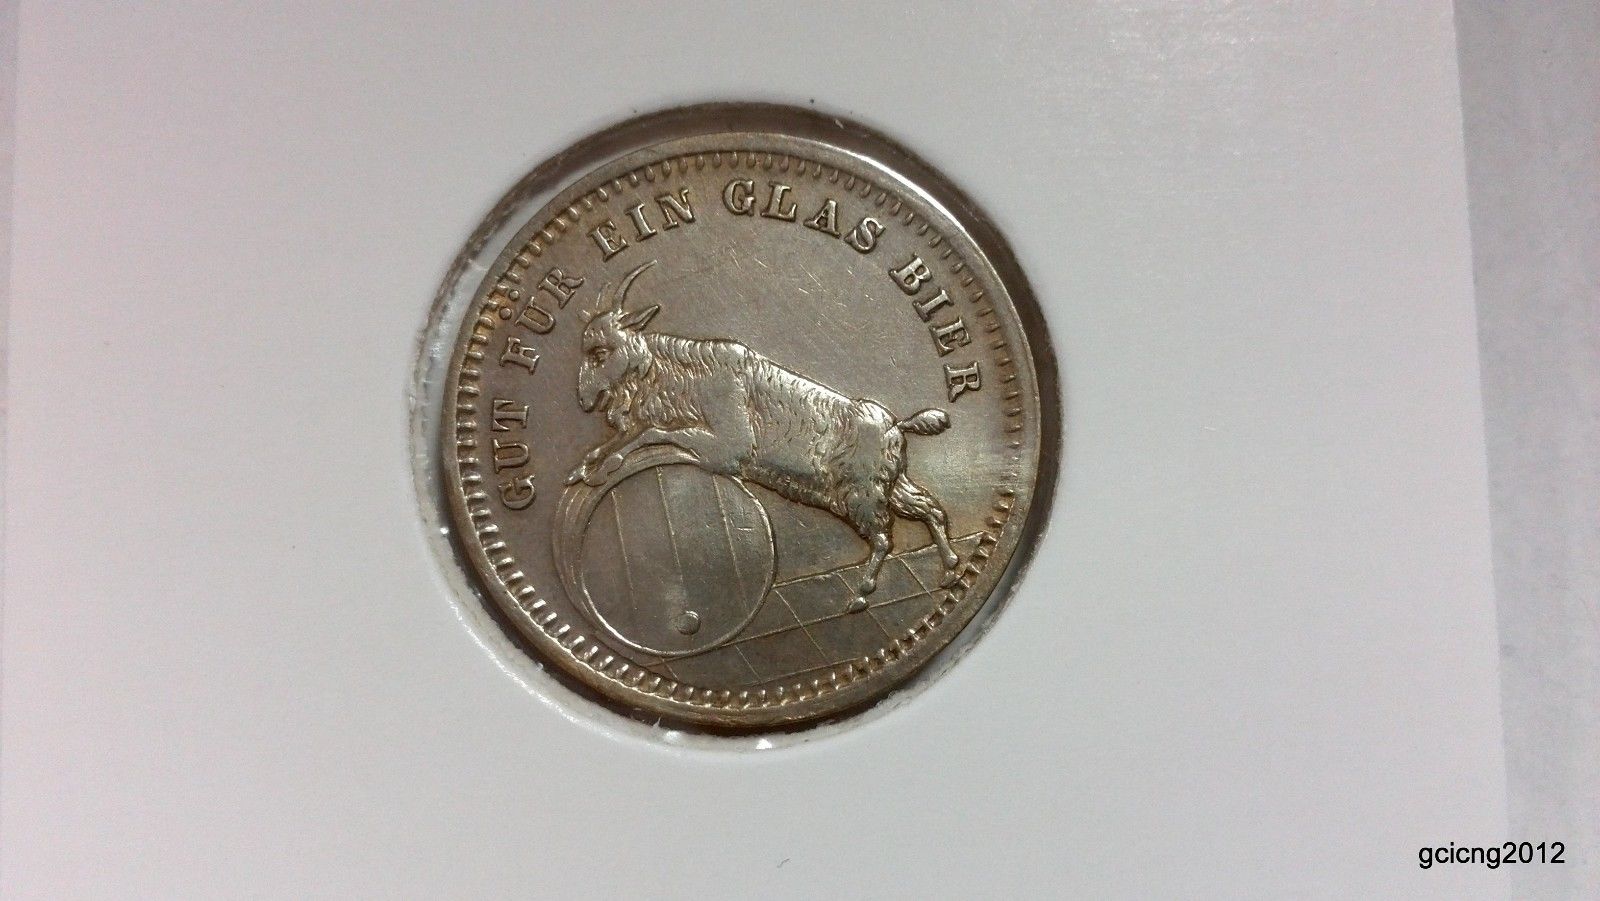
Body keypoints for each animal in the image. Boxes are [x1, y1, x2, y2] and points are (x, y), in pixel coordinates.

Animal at [566, 260, 960, 606]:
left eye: (600, 352)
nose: (584, 401)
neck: (691, 375)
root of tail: (895, 425)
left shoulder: (727, 451)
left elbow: (654, 434)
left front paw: (601, 468)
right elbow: (632, 435)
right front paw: (582, 469)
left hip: (861, 495)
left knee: (882, 538)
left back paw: (861, 595)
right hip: (892, 487)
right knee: (930, 509)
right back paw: (951, 571)